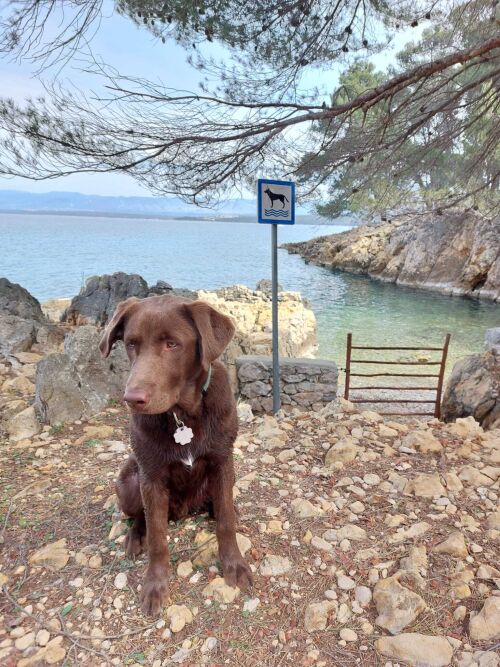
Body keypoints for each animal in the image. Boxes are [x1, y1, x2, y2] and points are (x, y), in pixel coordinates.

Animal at [99, 296, 252, 616]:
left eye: (172, 344)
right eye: (131, 344)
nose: (132, 399)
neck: (182, 415)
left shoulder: (223, 463)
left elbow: (226, 523)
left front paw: (235, 566)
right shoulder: (151, 478)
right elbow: (158, 537)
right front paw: (155, 586)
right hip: (128, 483)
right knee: (140, 517)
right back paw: (135, 537)